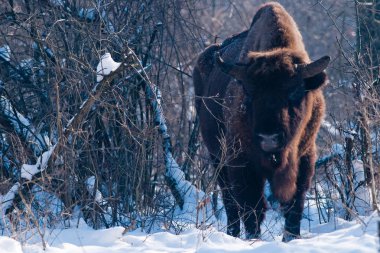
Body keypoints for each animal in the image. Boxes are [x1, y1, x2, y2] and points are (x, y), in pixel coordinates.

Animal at [193, 2, 330, 243]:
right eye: (249, 92)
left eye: (295, 91)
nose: (269, 137)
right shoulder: (241, 162)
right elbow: (252, 206)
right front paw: (253, 238)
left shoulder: (304, 157)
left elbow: (294, 204)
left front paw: (290, 238)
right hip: (217, 158)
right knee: (230, 202)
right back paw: (233, 234)